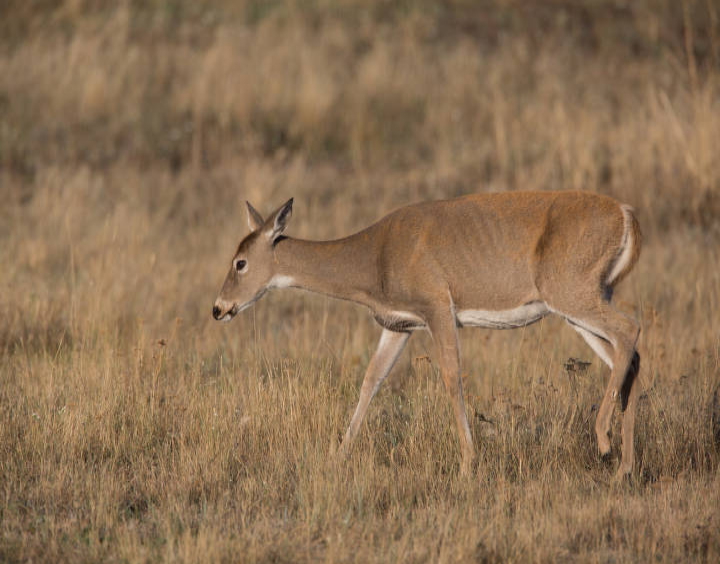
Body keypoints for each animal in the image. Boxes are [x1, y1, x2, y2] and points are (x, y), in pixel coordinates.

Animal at [212, 192, 640, 478]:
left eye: (240, 262)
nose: (219, 308)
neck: (375, 256)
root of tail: (626, 215)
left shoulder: (438, 309)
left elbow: (452, 377)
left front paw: (467, 464)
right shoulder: (398, 325)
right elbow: (371, 380)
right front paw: (338, 456)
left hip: (572, 295)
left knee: (630, 331)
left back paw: (603, 442)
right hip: (581, 305)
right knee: (628, 356)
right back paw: (625, 467)